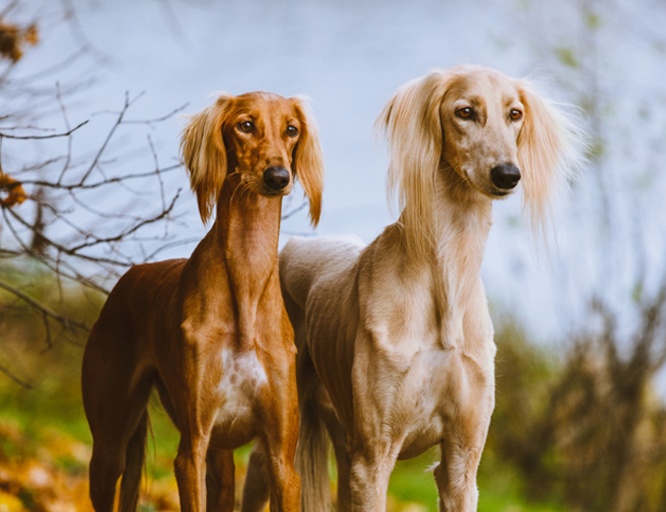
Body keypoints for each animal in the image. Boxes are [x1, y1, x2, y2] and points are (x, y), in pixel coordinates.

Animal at [80, 90, 324, 510]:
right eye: (246, 125)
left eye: (292, 129)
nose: (278, 177)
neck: (246, 280)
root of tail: (130, 275)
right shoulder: (191, 450)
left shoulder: (282, 461)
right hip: (109, 447)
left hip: (221, 463)